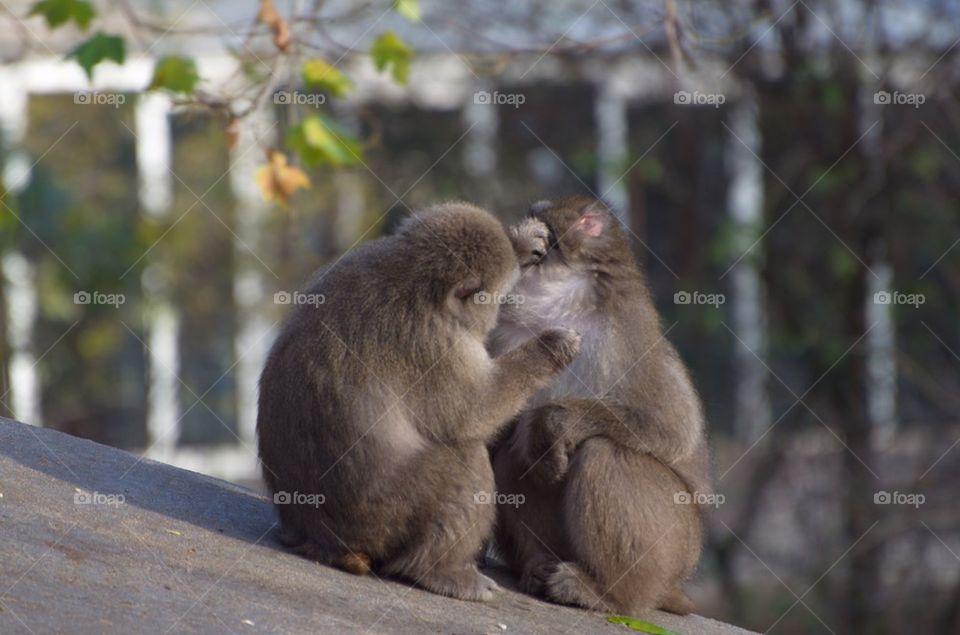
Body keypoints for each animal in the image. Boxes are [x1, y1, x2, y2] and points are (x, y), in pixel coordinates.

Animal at [256, 200, 584, 600]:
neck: (410, 276)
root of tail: (319, 539)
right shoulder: (435, 344)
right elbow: (473, 412)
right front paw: (551, 347)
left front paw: (521, 244)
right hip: (381, 515)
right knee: (464, 459)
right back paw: (437, 571)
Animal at [492, 198, 708, 616]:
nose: (529, 250)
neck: (565, 306)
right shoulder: (508, 334)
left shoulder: (628, 331)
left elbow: (671, 429)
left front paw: (553, 422)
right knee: (516, 456)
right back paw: (539, 566)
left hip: (676, 544)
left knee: (604, 453)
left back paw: (608, 593)